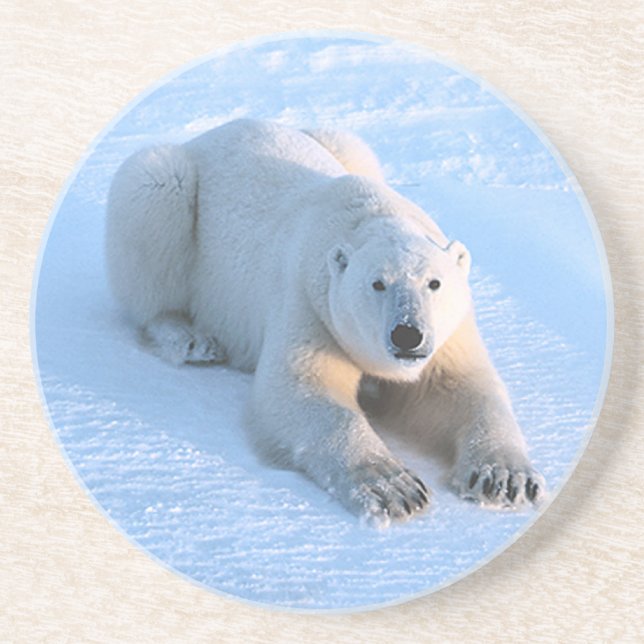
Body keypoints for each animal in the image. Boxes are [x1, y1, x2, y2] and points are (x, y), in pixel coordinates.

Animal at [106, 118, 545, 527]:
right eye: (377, 283)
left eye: (434, 283)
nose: (408, 334)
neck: (368, 216)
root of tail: (209, 134)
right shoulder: (310, 303)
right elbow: (302, 390)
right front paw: (395, 487)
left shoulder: (450, 332)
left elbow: (462, 387)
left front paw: (505, 479)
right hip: (170, 189)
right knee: (154, 206)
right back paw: (191, 338)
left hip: (342, 143)